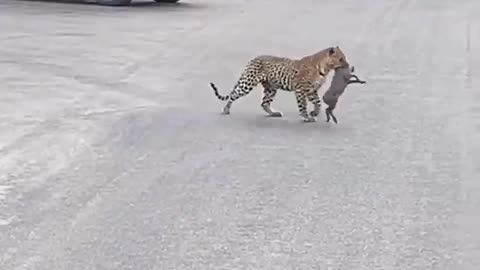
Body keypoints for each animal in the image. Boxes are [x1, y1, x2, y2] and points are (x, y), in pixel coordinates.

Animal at [209, 46, 348, 122]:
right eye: (341, 59)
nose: (347, 65)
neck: (324, 69)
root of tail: (254, 59)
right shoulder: (301, 90)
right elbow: (302, 105)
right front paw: (306, 117)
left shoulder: (312, 90)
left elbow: (318, 102)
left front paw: (314, 112)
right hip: (248, 83)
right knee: (233, 95)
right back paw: (226, 109)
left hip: (271, 88)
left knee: (264, 103)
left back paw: (274, 113)